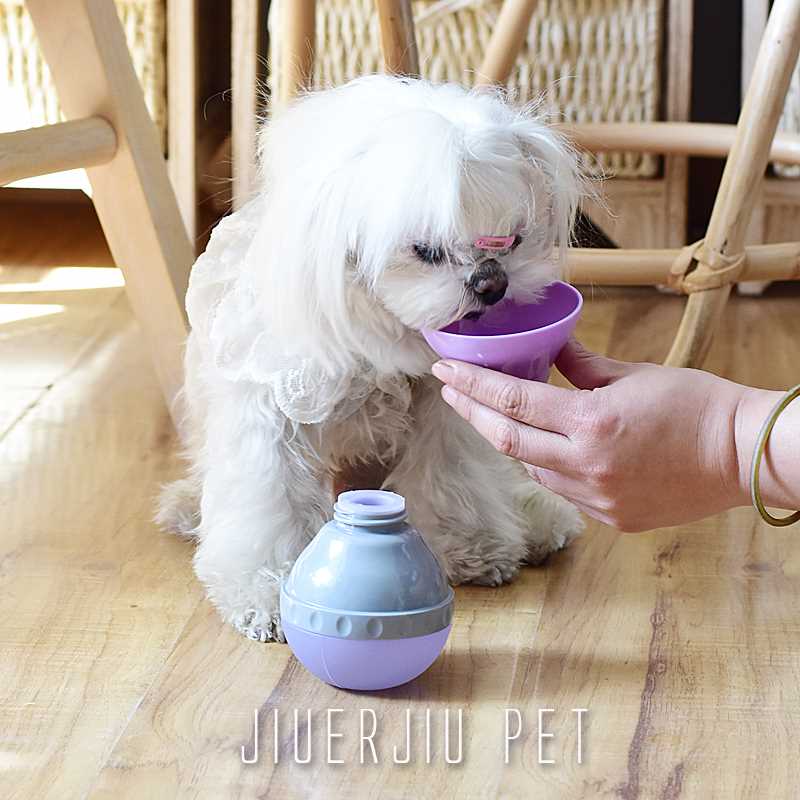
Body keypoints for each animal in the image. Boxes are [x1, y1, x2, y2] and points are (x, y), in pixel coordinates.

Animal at [156, 75, 584, 644]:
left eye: (512, 240)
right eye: (426, 251)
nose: (491, 282)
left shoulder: (442, 404)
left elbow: (452, 477)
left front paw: (474, 550)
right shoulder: (269, 411)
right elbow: (269, 503)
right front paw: (266, 595)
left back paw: (539, 521)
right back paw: (186, 507)